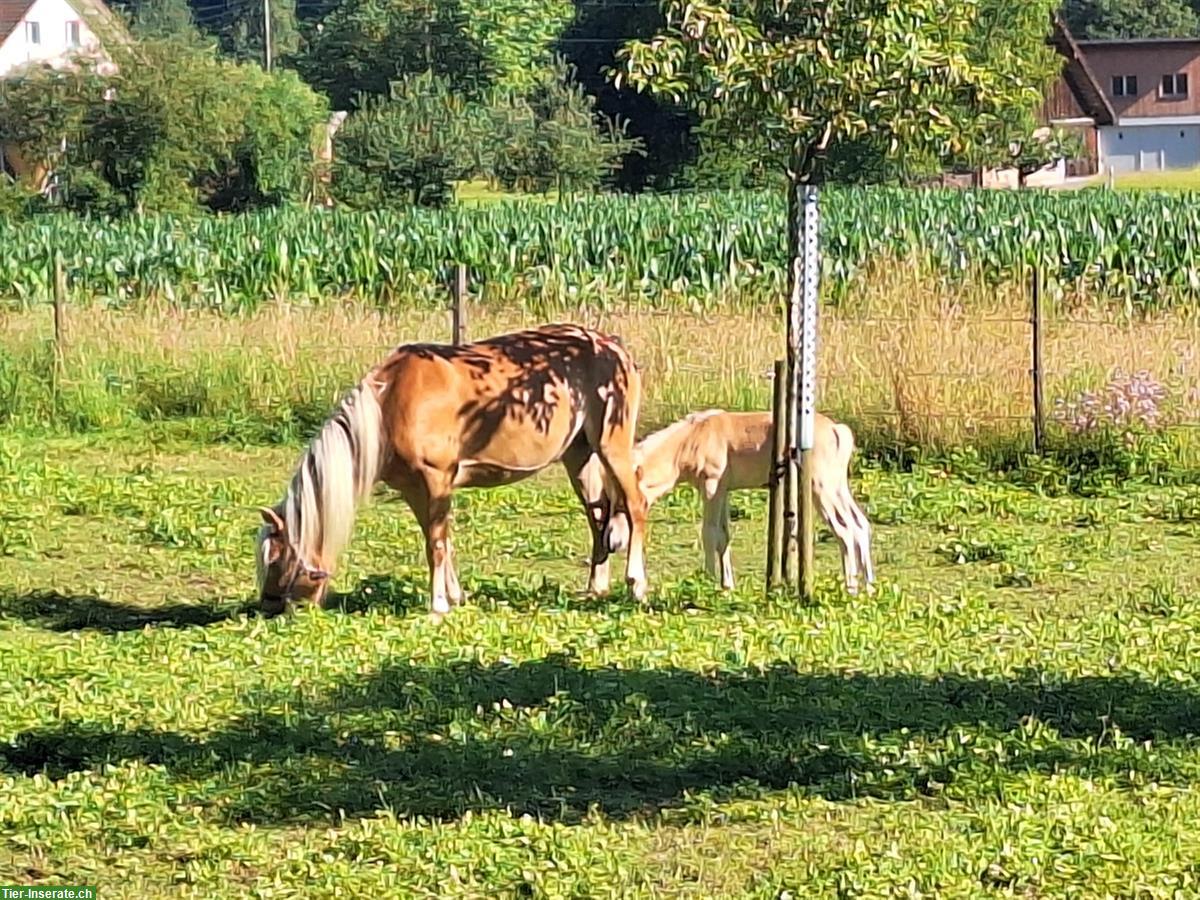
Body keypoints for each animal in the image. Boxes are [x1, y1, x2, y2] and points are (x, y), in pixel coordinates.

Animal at [252, 326, 648, 619]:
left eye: (274, 556)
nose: (267, 608)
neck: (391, 404)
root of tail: (611, 346)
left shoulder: (437, 478)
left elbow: (436, 545)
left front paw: (438, 605)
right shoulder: (414, 489)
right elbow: (441, 539)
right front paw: (455, 596)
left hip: (611, 446)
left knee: (635, 505)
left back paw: (636, 585)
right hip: (579, 456)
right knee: (598, 517)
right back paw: (596, 588)